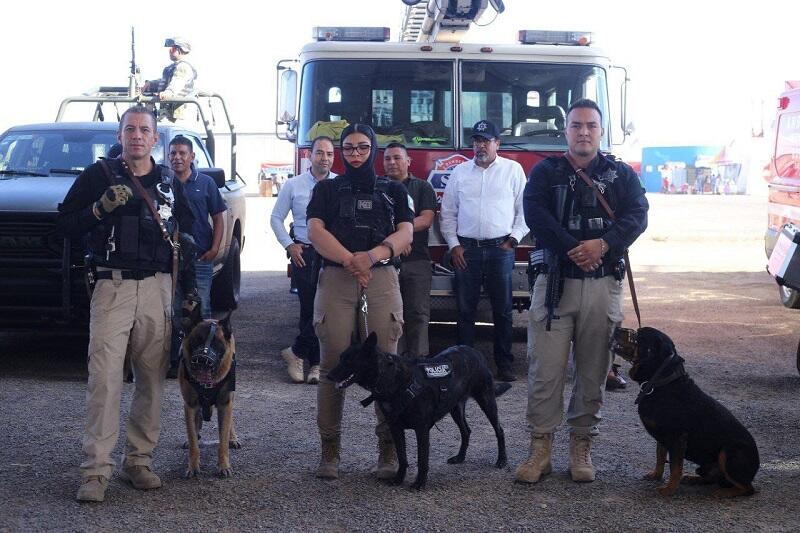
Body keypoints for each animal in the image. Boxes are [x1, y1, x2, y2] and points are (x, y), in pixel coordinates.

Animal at [175, 306, 238, 476]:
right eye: (198, 339)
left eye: (216, 343)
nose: (203, 359)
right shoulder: (190, 405)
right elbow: (193, 441)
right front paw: (192, 466)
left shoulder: (225, 404)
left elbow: (222, 441)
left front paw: (224, 466)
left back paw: (233, 438)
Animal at [326, 332, 510, 490]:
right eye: (340, 358)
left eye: (349, 360)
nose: (328, 376)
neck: (391, 378)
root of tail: (474, 351)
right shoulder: (395, 428)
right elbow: (402, 457)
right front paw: (398, 479)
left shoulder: (422, 429)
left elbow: (422, 459)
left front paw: (420, 483)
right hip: (455, 408)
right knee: (466, 431)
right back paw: (460, 457)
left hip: (486, 401)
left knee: (499, 430)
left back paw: (502, 460)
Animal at [612, 326, 764, 496]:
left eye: (639, 336)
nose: (616, 327)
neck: (662, 383)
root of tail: (755, 468)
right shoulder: (662, 438)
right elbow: (660, 457)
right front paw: (656, 476)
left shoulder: (677, 439)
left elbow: (675, 467)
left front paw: (669, 489)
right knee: (713, 478)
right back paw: (693, 479)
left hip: (729, 452)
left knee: (748, 488)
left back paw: (723, 493)